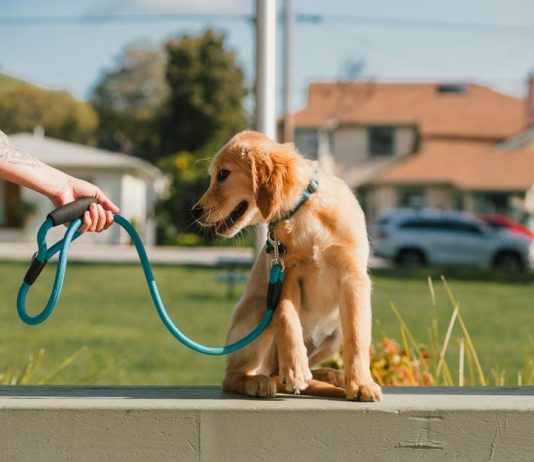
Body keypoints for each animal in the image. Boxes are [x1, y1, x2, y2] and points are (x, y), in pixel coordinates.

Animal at [195, 130, 384, 400]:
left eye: (223, 174)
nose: (195, 212)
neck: (303, 212)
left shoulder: (353, 276)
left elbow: (357, 337)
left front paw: (360, 383)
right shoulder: (287, 274)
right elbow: (286, 315)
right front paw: (295, 368)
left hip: (334, 331)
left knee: (290, 371)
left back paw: (332, 376)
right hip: (259, 309)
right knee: (235, 376)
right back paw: (259, 381)